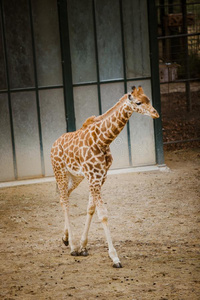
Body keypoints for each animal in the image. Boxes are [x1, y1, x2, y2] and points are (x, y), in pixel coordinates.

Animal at [51, 85, 159, 268]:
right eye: (138, 102)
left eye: (148, 99)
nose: (155, 113)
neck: (103, 140)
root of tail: (53, 144)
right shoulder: (94, 177)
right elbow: (103, 214)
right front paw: (114, 257)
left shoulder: (100, 177)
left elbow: (91, 209)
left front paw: (83, 246)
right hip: (60, 171)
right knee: (64, 201)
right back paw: (72, 246)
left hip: (75, 177)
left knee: (64, 195)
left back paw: (65, 238)